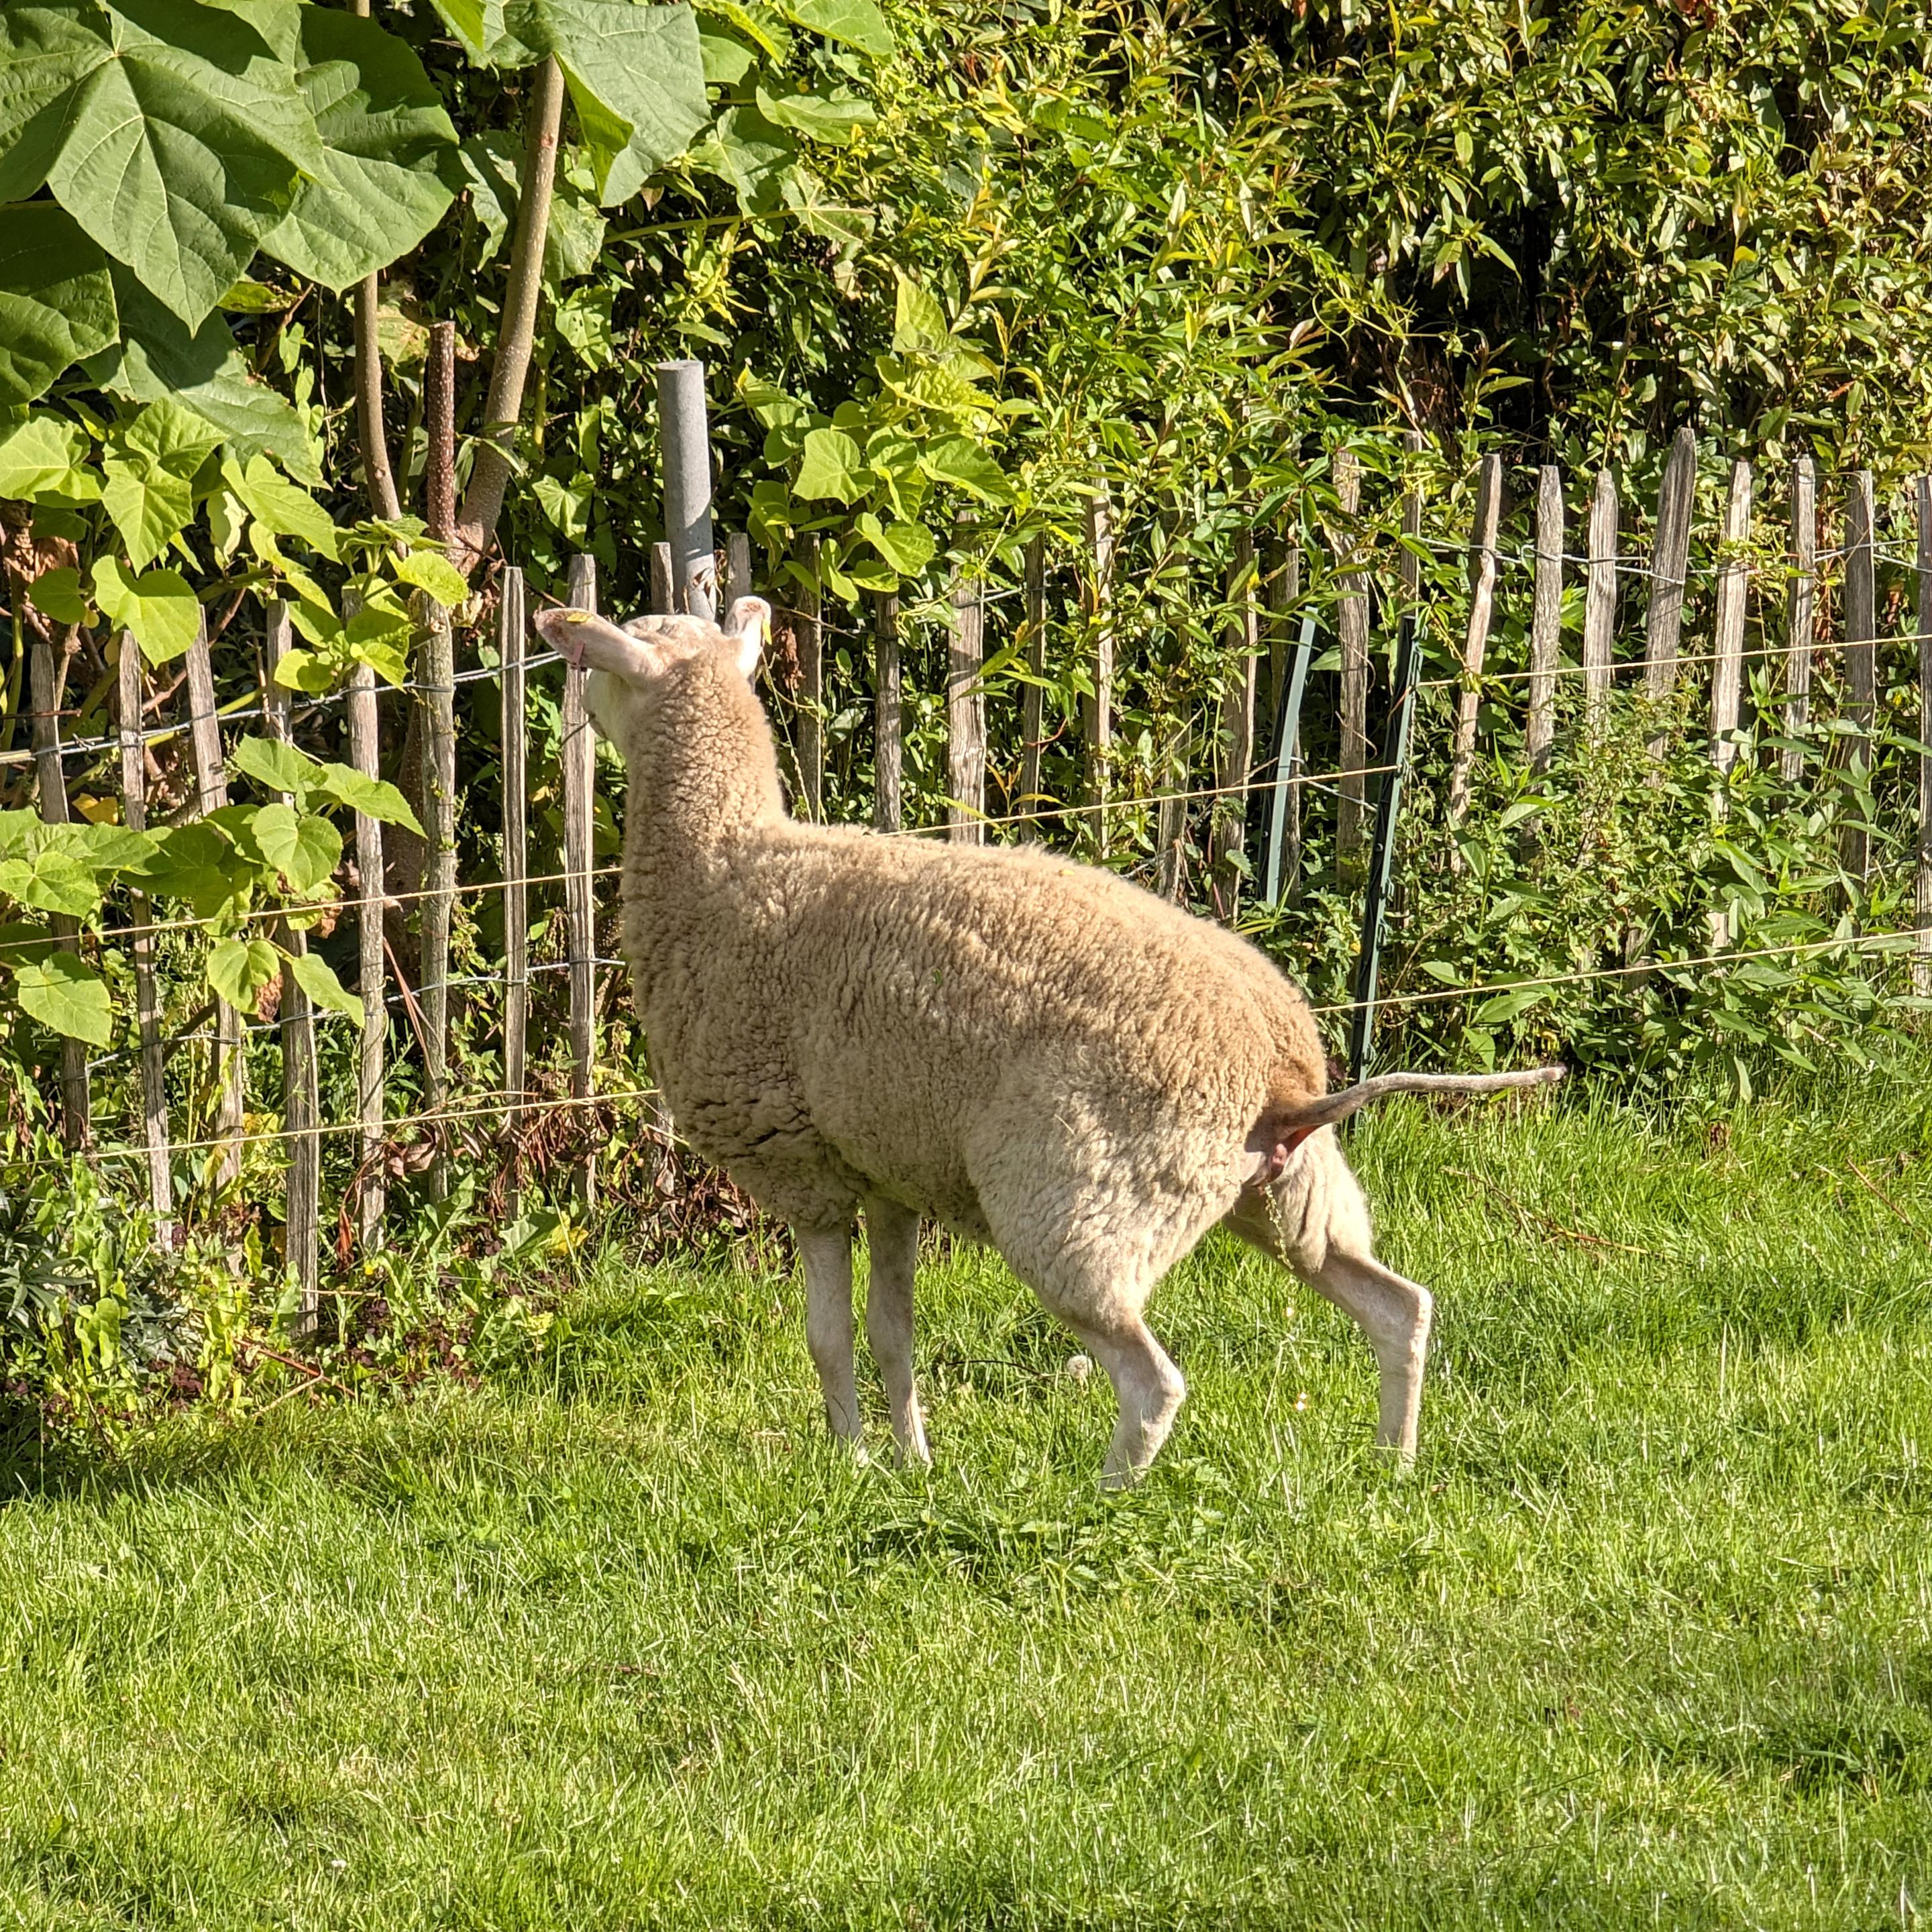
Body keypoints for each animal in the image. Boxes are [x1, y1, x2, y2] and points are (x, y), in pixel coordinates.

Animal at [534, 594, 1563, 1485]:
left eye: (609, 659)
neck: (722, 865)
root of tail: (1285, 1078)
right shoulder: (890, 1170)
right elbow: (891, 1335)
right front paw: (911, 1465)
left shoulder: (803, 1167)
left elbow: (827, 1341)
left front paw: (851, 1463)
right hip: (1286, 1194)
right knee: (1399, 1308)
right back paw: (1394, 1464)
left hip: (1080, 1201)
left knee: (1153, 1382)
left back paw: (1105, 1500)